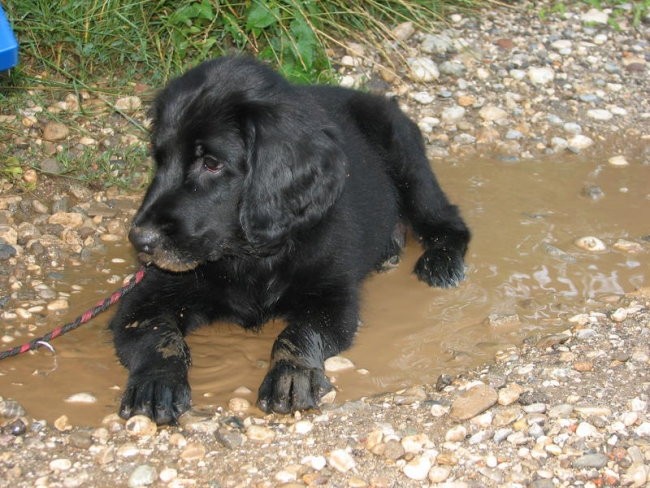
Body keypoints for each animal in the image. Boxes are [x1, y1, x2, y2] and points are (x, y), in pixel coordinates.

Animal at [109, 56, 468, 424]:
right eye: (159, 159)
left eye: (211, 163)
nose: (140, 240)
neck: (248, 255)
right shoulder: (146, 296)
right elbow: (158, 335)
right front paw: (156, 382)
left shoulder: (331, 298)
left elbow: (297, 333)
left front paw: (292, 375)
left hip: (406, 158)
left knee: (447, 219)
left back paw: (440, 261)